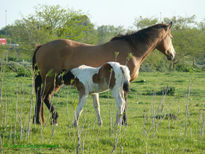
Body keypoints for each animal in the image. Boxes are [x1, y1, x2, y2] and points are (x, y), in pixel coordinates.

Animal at [32, 22, 176, 125]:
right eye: (171, 37)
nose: (172, 54)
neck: (132, 49)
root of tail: (42, 46)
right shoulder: (124, 84)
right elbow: (124, 102)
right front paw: (124, 122)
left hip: (56, 80)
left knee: (44, 97)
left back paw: (46, 119)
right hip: (50, 79)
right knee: (42, 96)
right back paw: (44, 120)